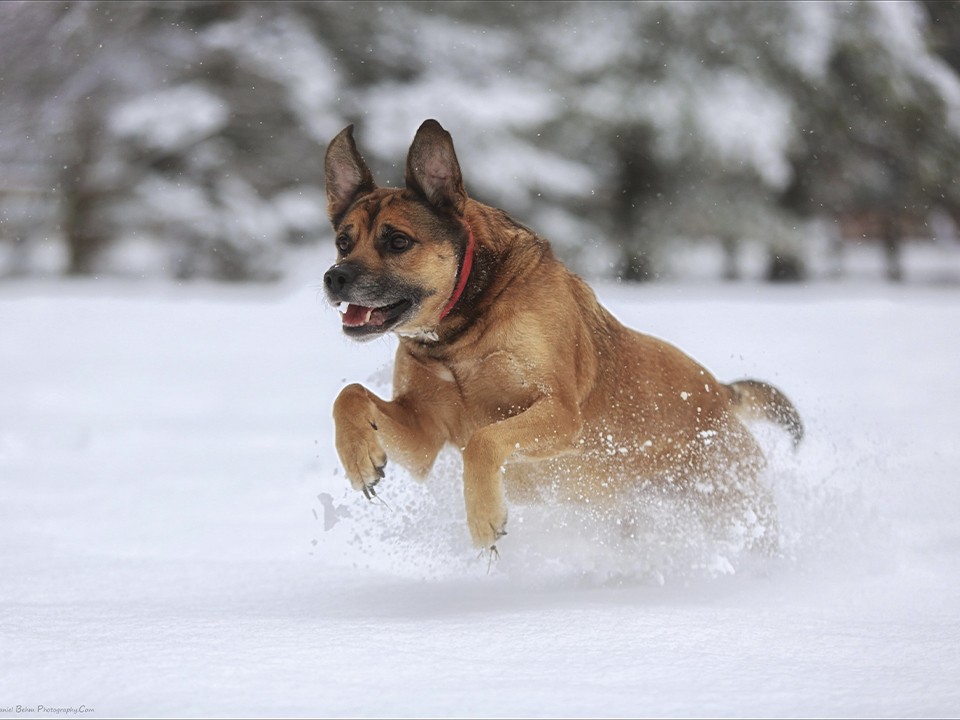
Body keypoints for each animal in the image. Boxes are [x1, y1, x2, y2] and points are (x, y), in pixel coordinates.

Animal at [324, 121, 804, 556]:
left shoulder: (559, 411)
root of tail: (720, 393)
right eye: (343, 242)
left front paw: (484, 518)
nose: (334, 277)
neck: (460, 332)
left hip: (727, 496)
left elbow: (484, 441)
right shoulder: (426, 431)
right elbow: (349, 395)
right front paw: (360, 458)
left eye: (397, 241)